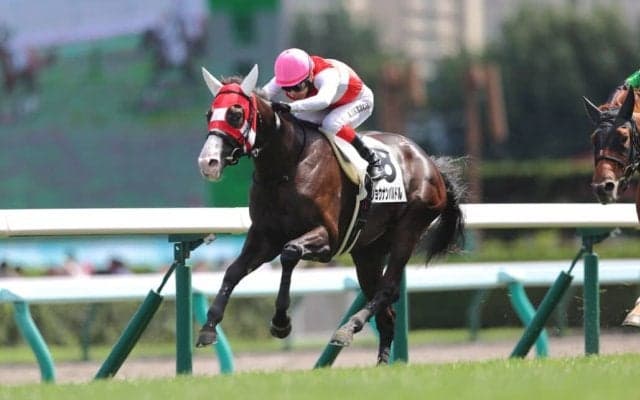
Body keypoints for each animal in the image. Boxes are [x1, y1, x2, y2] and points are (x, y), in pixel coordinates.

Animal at [195, 65, 466, 364]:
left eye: (236, 114)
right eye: (209, 114)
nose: (208, 163)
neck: (287, 165)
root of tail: (430, 163)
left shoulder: (327, 237)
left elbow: (290, 253)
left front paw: (281, 322)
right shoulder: (265, 235)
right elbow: (233, 271)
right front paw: (208, 328)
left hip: (409, 230)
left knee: (387, 288)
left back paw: (349, 327)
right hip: (368, 251)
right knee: (386, 312)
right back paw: (381, 362)